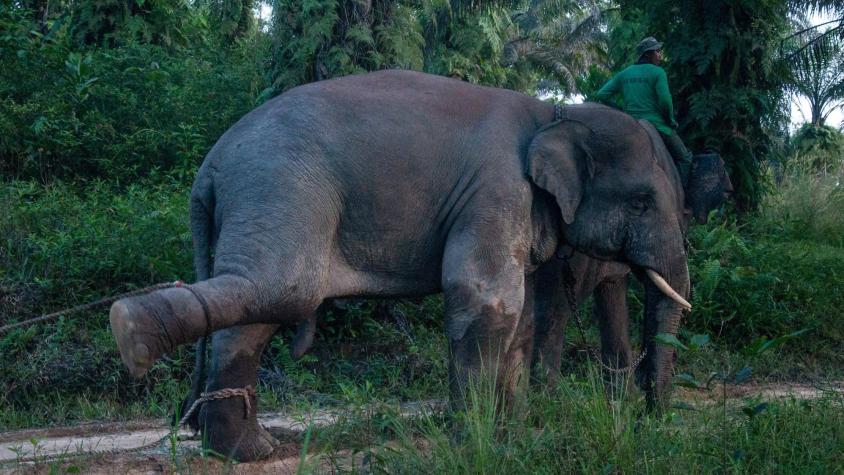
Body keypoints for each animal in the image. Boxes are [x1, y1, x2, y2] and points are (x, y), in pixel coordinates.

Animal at [109, 69, 688, 462]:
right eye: (641, 202)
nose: (652, 419)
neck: (556, 115)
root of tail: (211, 164)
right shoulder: (497, 190)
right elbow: (484, 297)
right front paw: (474, 441)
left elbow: (518, 317)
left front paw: (513, 433)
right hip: (278, 189)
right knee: (281, 288)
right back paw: (133, 332)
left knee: (254, 312)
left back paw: (242, 448)